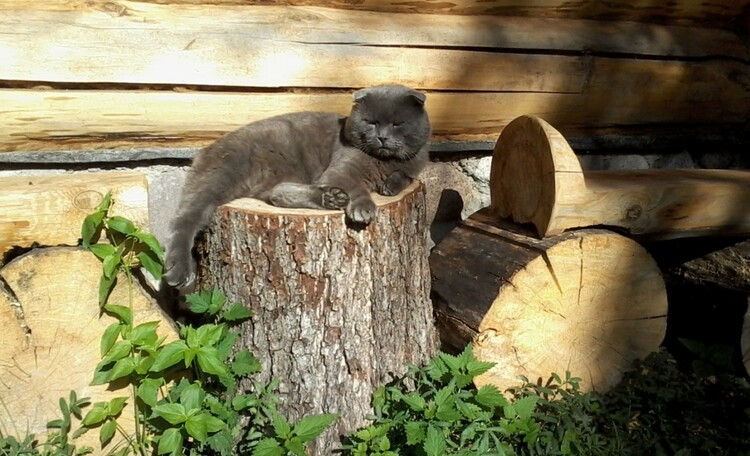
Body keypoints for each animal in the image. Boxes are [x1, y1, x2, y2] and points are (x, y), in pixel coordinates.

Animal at [164, 85, 434, 292]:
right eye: (371, 122)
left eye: (397, 124)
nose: (382, 137)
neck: (383, 161)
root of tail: (205, 149)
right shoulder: (340, 170)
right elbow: (358, 188)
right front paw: (363, 209)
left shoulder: (416, 162)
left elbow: (405, 176)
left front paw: (390, 185)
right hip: (221, 174)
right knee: (186, 220)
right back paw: (178, 272)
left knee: (279, 193)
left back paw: (332, 198)